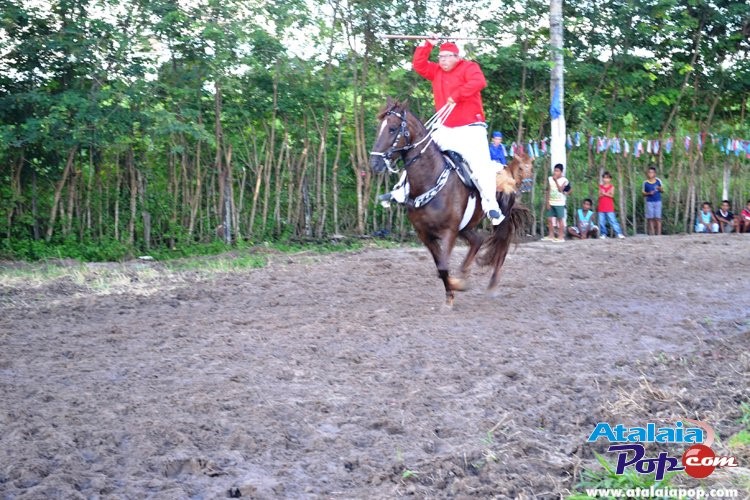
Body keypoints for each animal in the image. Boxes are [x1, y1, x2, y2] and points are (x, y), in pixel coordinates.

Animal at [369, 99, 532, 305]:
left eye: (392, 128)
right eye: (379, 127)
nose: (374, 163)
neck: (431, 180)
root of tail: (509, 173)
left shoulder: (449, 231)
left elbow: (443, 266)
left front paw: (453, 291)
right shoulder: (425, 234)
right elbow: (440, 267)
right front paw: (453, 291)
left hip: (501, 222)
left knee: (501, 247)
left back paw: (492, 285)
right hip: (465, 226)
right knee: (477, 240)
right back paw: (464, 274)